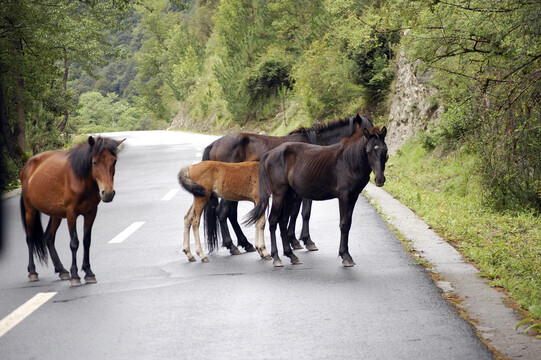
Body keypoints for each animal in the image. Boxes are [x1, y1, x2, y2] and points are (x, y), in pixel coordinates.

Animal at [20, 136, 123, 286]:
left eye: (114, 161)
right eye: (95, 162)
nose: (108, 193)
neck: (81, 179)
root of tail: (27, 166)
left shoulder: (91, 213)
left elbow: (86, 241)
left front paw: (88, 272)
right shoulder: (71, 214)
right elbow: (74, 243)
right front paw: (75, 275)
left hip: (55, 214)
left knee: (49, 237)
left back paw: (62, 270)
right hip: (30, 210)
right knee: (30, 238)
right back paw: (32, 272)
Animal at [202, 114, 372, 255]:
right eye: (366, 132)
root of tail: (214, 144)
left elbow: (294, 214)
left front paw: (294, 240)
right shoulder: (302, 193)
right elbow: (302, 213)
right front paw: (304, 240)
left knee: (230, 214)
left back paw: (246, 244)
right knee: (222, 213)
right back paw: (232, 246)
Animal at [245, 126, 388, 268]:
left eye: (385, 150)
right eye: (368, 151)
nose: (380, 179)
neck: (349, 161)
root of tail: (269, 154)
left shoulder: (353, 197)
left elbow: (348, 224)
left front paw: (346, 255)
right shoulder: (344, 197)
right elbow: (344, 224)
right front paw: (345, 256)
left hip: (289, 195)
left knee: (283, 221)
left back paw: (291, 255)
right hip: (279, 194)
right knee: (273, 221)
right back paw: (276, 257)